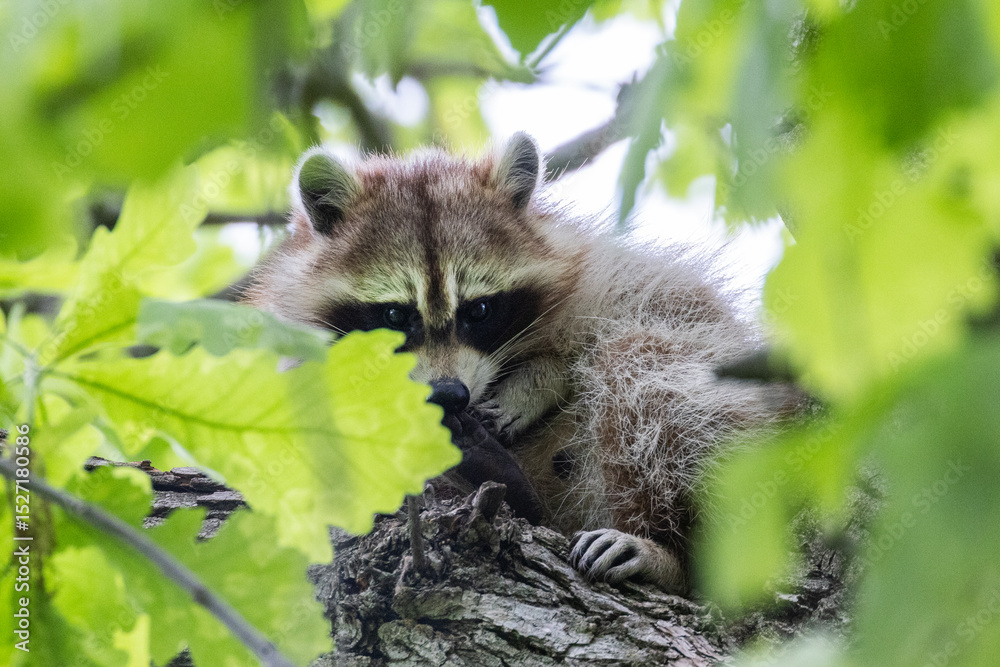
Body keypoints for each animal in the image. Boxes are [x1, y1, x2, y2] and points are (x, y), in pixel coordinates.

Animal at [245, 133, 798, 593]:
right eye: (395, 316)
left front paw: (537, 382)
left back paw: (667, 553)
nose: (450, 395)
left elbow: (663, 310)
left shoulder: (605, 275)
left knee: (639, 366)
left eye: (479, 311)